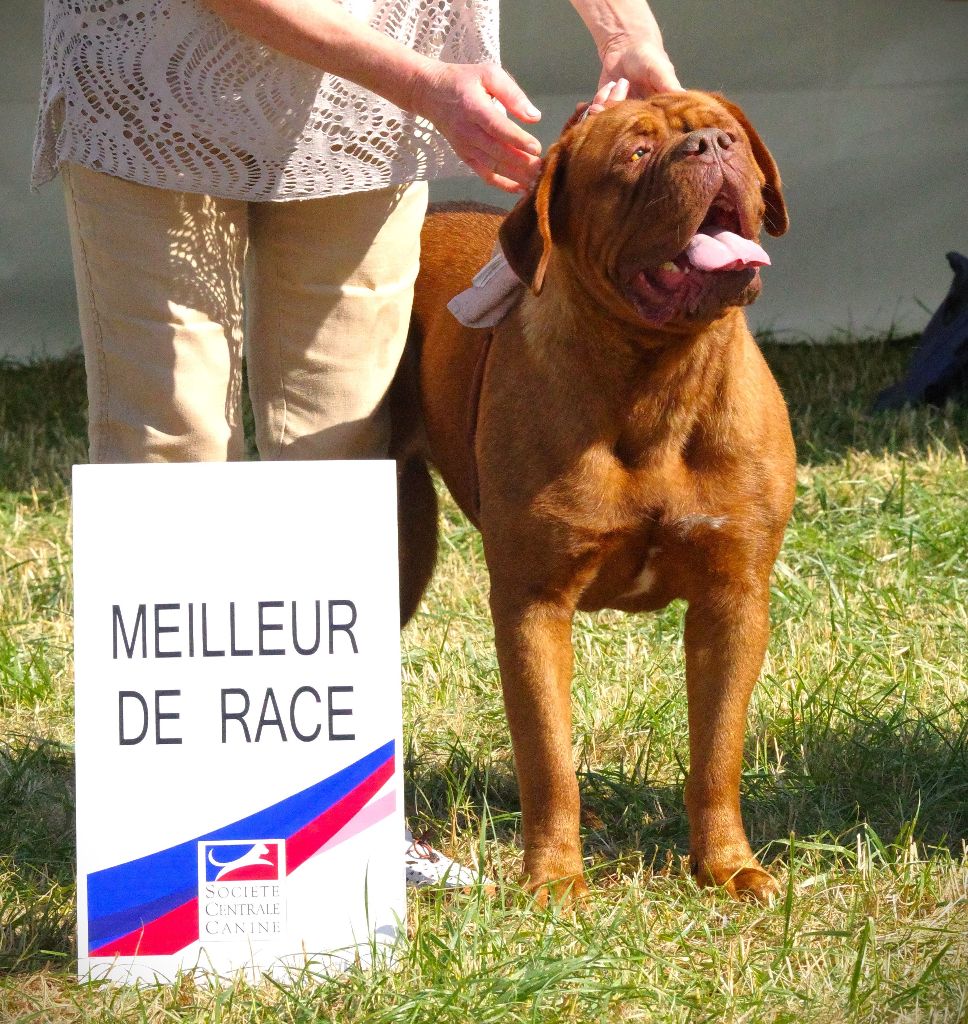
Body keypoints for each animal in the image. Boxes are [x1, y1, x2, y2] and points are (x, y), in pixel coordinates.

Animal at [391, 92, 794, 901]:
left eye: (730, 135)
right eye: (635, 155)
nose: (711, 145)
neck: (659, 375)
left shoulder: (734, 598)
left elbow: (718, 753)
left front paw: (728, 868)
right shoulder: (533, 602)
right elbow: (549, 759)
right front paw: (553, 881)